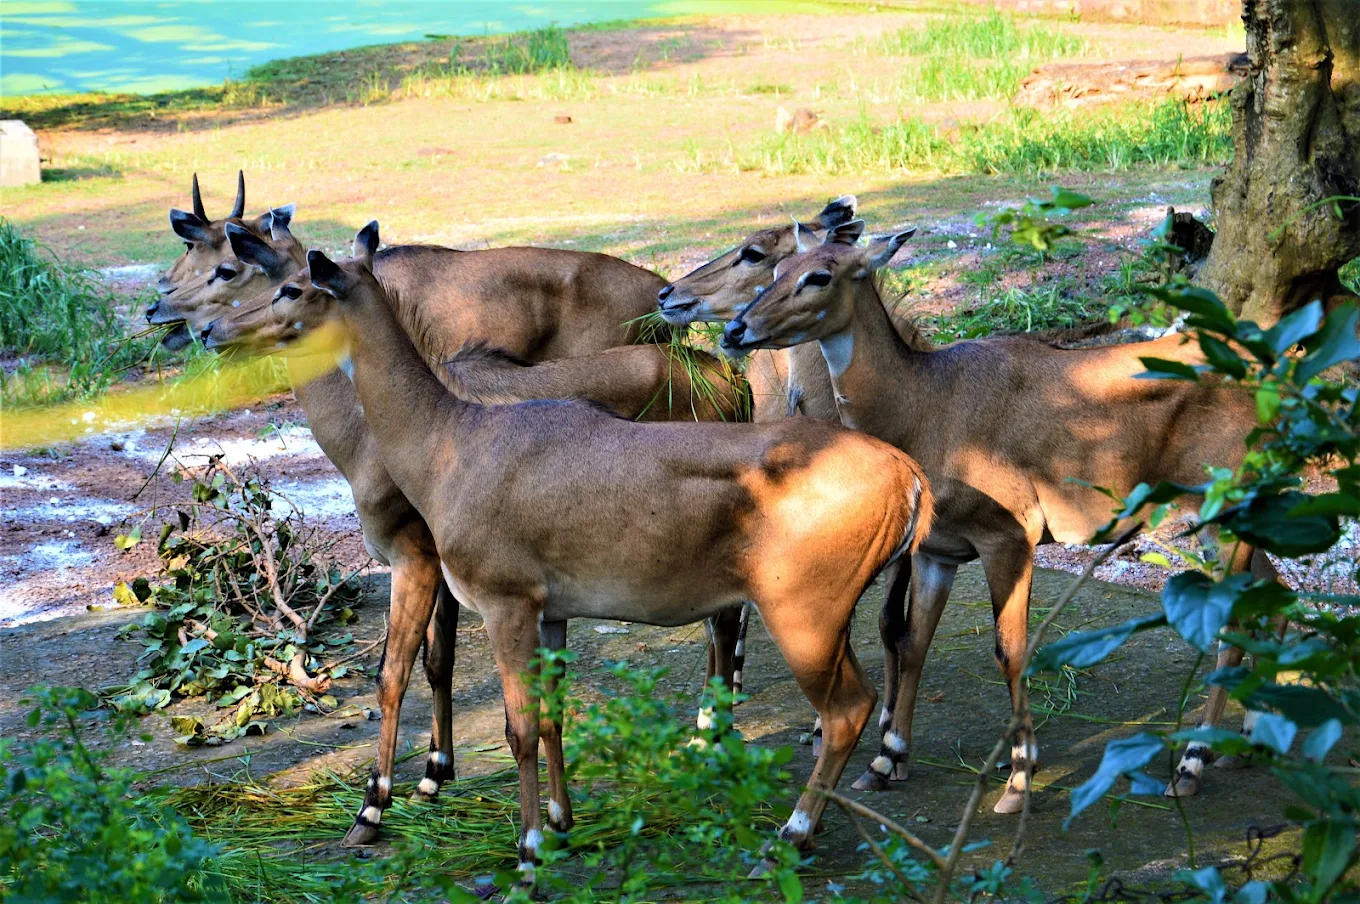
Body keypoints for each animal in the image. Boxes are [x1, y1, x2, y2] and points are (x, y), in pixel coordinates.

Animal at [268, 220, 934, 882]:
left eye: (294, 287)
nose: (242, 334)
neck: (448, 439)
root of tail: (908, 478)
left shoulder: (505, 602)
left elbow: (517, 727)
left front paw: (527, 849)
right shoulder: (552, 611)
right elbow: (552, 714)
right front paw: (561, 823)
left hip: (804, 615)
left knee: (848, 707)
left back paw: (791, 833)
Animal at [718, 219, 1278, 810]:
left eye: (819, 276)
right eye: (777, 270)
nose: (736, 329)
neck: (923, 407)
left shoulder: (1011, 536)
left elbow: (1011, 651)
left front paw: (1018, 777)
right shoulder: (938, 550)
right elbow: (914, 643)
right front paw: (886, 759)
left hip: (1224, 510)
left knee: (1235, 622)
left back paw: (1192, 764)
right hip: (1235, 516)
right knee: (1270, 593)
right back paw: (1247, 740)